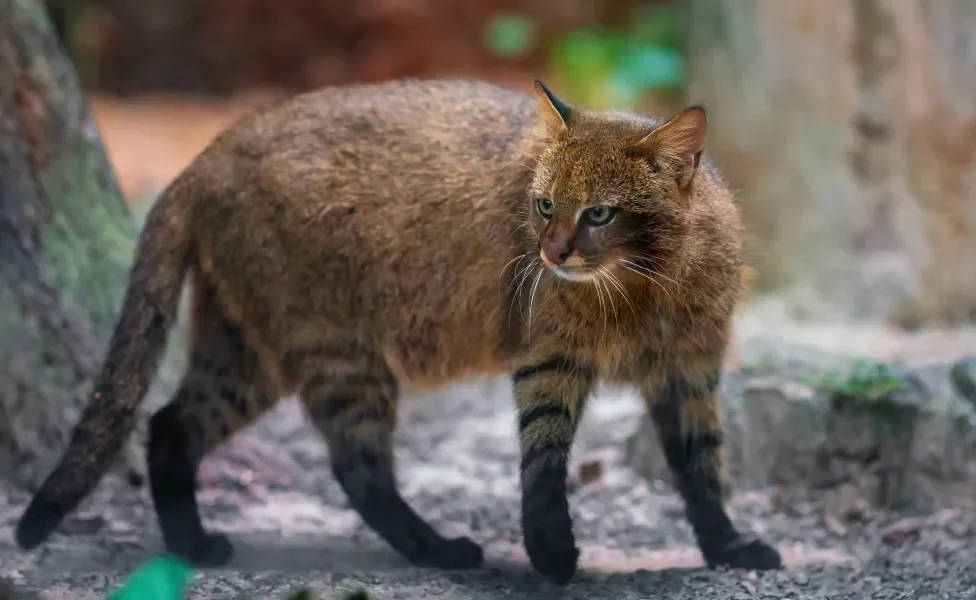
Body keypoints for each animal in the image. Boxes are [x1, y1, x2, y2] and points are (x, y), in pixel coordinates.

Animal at [17, 77, 784, 584]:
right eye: (543, 205)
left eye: (599, 213)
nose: (550, 253)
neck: (640, 288)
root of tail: (209, 153)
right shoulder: (549, 359)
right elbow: (543, 460)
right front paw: (552, 553)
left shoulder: (690, 368)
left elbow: (702, 463)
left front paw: (727, 547)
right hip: (335, 350)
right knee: (357, 467)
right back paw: (438, 549)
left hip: (247, 350)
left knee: (173, 424)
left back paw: (190, 546)